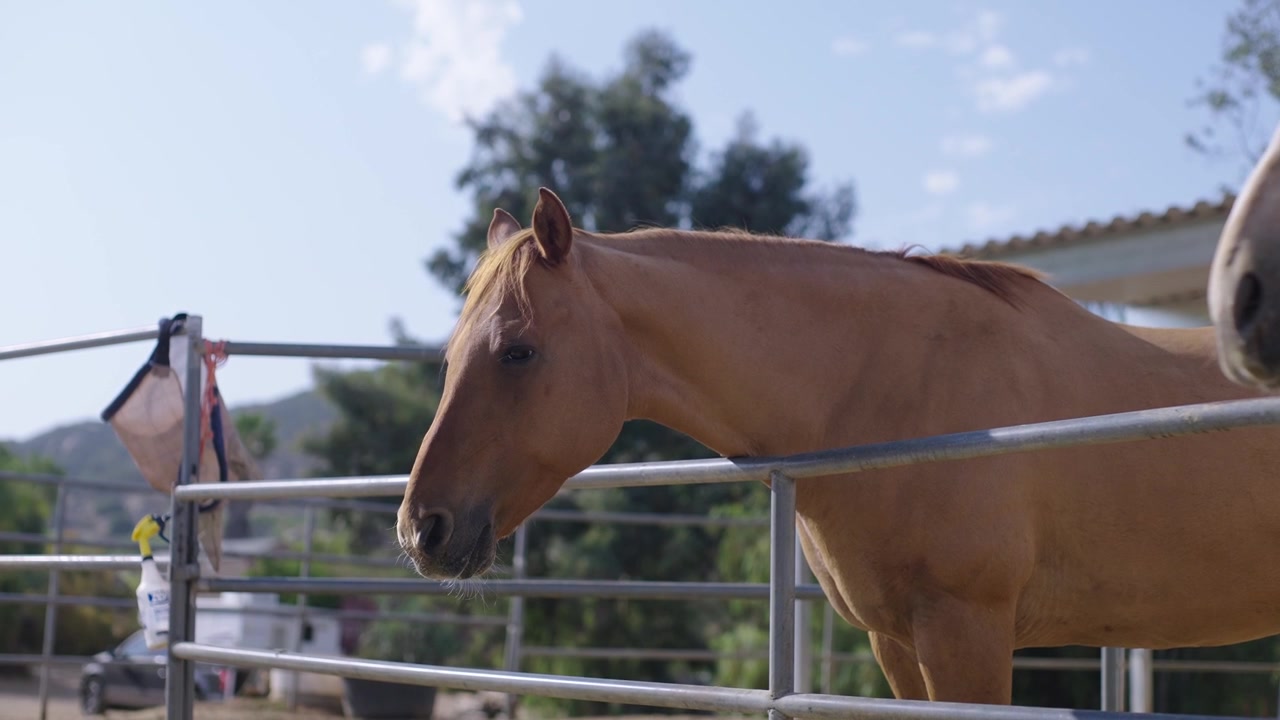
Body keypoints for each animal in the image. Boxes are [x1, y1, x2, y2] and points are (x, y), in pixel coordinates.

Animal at [397, 187, 1280, 705]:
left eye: (518, 351)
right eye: (450, 358)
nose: (420, 530)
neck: (889, 388)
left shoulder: (968, 632)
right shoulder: (896, 642)